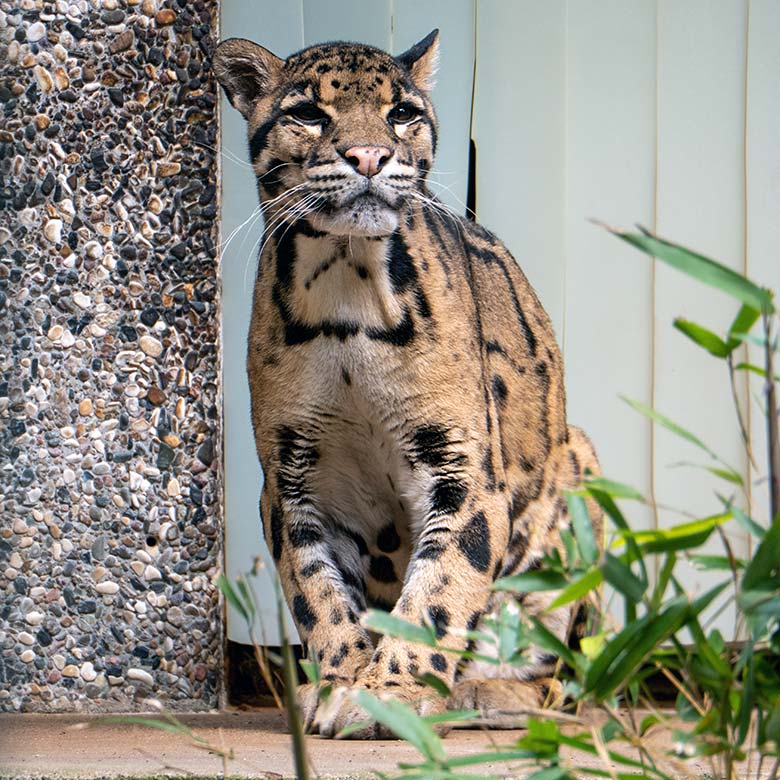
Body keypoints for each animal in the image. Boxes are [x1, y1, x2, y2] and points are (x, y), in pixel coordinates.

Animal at [213, 30, 604, 736]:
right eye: (307, 113)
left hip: (579, 471)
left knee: (561, 678)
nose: (370, 154)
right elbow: (317, 591)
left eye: (401, 113)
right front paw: (343, 681)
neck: (347, 294)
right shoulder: (290, 479)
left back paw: (482, 693)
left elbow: (441, 586)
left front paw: (394, 691)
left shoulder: (464, 467)